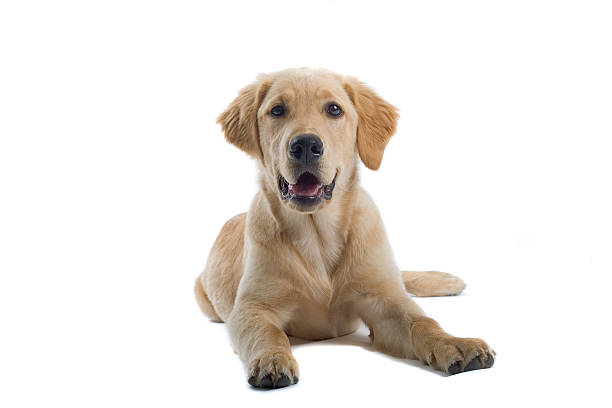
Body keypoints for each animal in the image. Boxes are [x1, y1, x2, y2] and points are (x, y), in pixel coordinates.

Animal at [194, 67, 494, 388]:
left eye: (334, 109)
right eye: (277, 110)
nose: (306, 145)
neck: (318, 234)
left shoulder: (384, 302)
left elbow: (422, 322)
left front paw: (456, 344)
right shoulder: (252, 307)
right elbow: (266, 332)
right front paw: (271, 359)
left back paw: (447, 281)